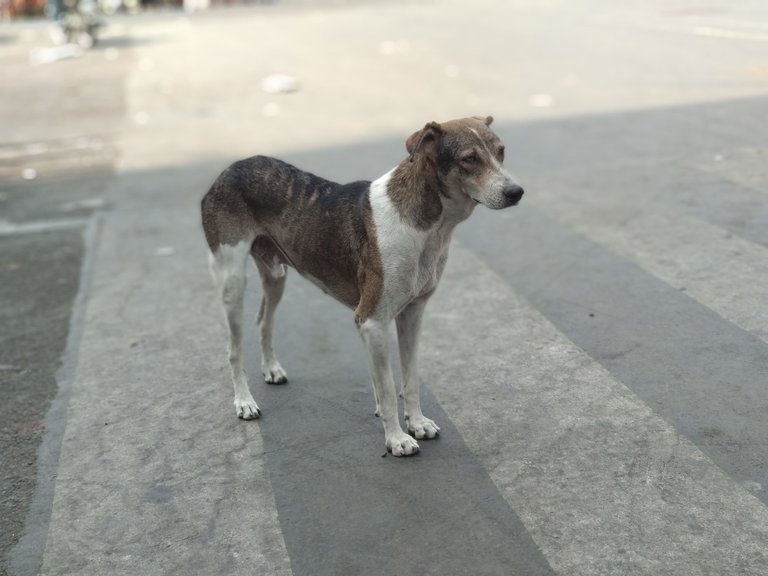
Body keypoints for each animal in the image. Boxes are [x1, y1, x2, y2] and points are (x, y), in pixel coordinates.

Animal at [200, 115, 520, 456]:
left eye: (501, 151)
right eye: (469, 159)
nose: (516, 192)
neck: (425, 226)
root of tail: (229, 169)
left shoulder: (412, 315)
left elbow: (409, 379)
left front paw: (417, 423)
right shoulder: (373, 321)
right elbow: (389, 388)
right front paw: (396, 439)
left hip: (276, 276)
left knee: (264, 321)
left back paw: (271, 368)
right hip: (233, 281)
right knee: (233, 350)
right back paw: (244, 402)